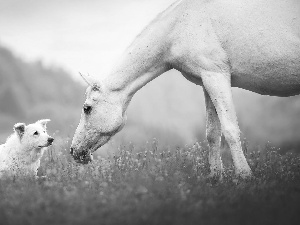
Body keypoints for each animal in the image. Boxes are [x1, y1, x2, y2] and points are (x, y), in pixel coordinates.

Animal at [71, 0, 300, 178]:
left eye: (87, 108)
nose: (74, 151)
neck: (181, 25)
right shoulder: (207, 80)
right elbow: (212, 133)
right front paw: (216, 177)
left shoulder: (217, 76)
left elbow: (230, 129)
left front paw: (245, 177)